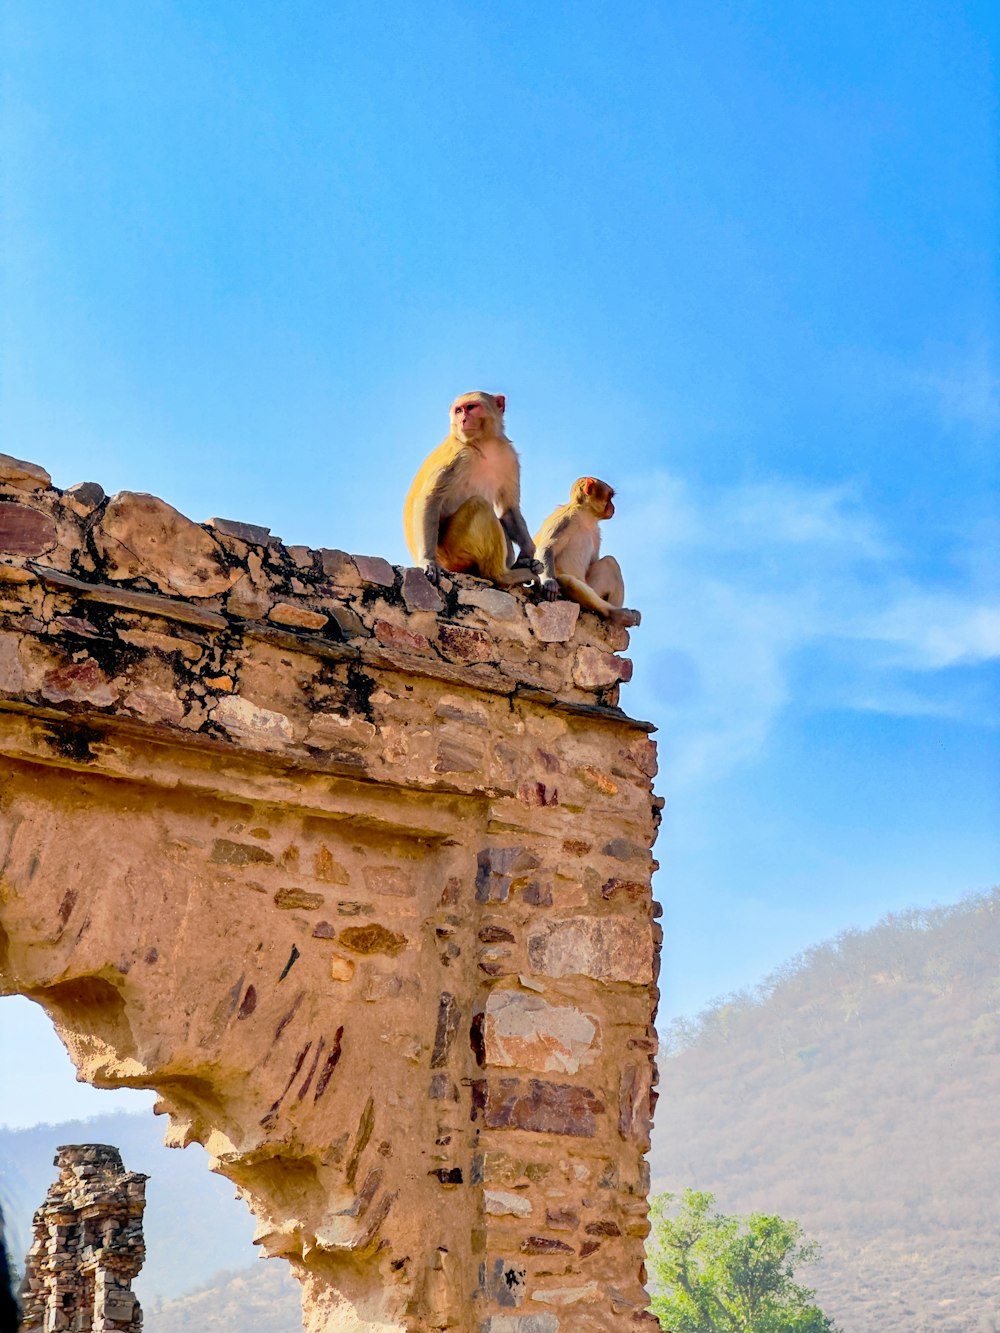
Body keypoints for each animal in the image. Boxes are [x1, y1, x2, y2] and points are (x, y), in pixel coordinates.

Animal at [402, 389, 541, 589]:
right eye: (458, 411)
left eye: (471, 407)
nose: (462, 420)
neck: (483, 444)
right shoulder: (460, 456)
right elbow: (431, 499)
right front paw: (427, 561)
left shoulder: (509, 457)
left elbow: (508, 509)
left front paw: (527, 554)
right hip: (452, 552)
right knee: (479, 505)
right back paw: (502, 576)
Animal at [541, 477, 642, 626]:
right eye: (610, 497)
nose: (613, 507)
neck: (586, 517)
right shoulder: (567, 519)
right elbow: (548, 547)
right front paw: (549, 581)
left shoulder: (596, 531)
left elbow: (594, 561)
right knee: (568, 582)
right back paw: (615, 613)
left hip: (591, 586)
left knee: (610, 562)